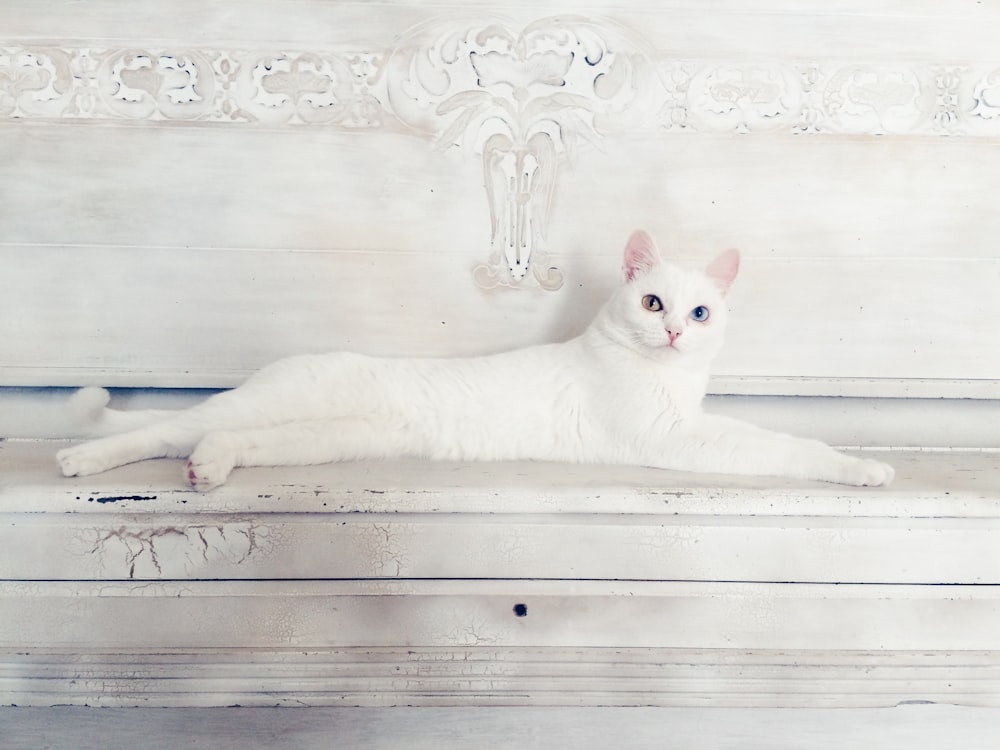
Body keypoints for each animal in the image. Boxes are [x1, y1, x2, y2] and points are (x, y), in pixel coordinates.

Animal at [58, 235, 896, 494]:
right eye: (654, 302)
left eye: (700, 314)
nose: (672, 336)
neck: (672, 381)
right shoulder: (677, 438)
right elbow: (785, 446)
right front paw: (861, 468)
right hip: (259, 405)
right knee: (159, 430)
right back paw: (80, 459)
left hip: (314, 438)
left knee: (212, 441)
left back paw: (210, 467)